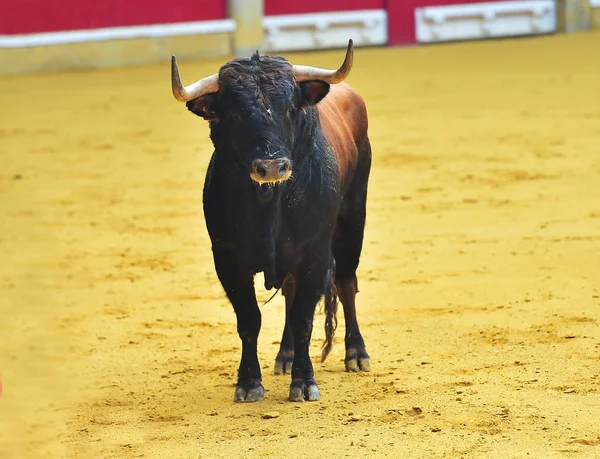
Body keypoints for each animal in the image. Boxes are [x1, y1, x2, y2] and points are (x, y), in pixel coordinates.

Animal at [171, 41, 372, 402]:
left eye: (290, 110)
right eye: (235, 115)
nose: (272, 167)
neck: (268, 203)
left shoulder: (314, 256)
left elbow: (303, 318)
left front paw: (304, 382)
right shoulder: (227, 260)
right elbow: (250, 320)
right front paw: (249, 383)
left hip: (353, 219)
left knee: (347, 282)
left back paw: (356, 354)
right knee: (290, 294)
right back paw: (285, 356)